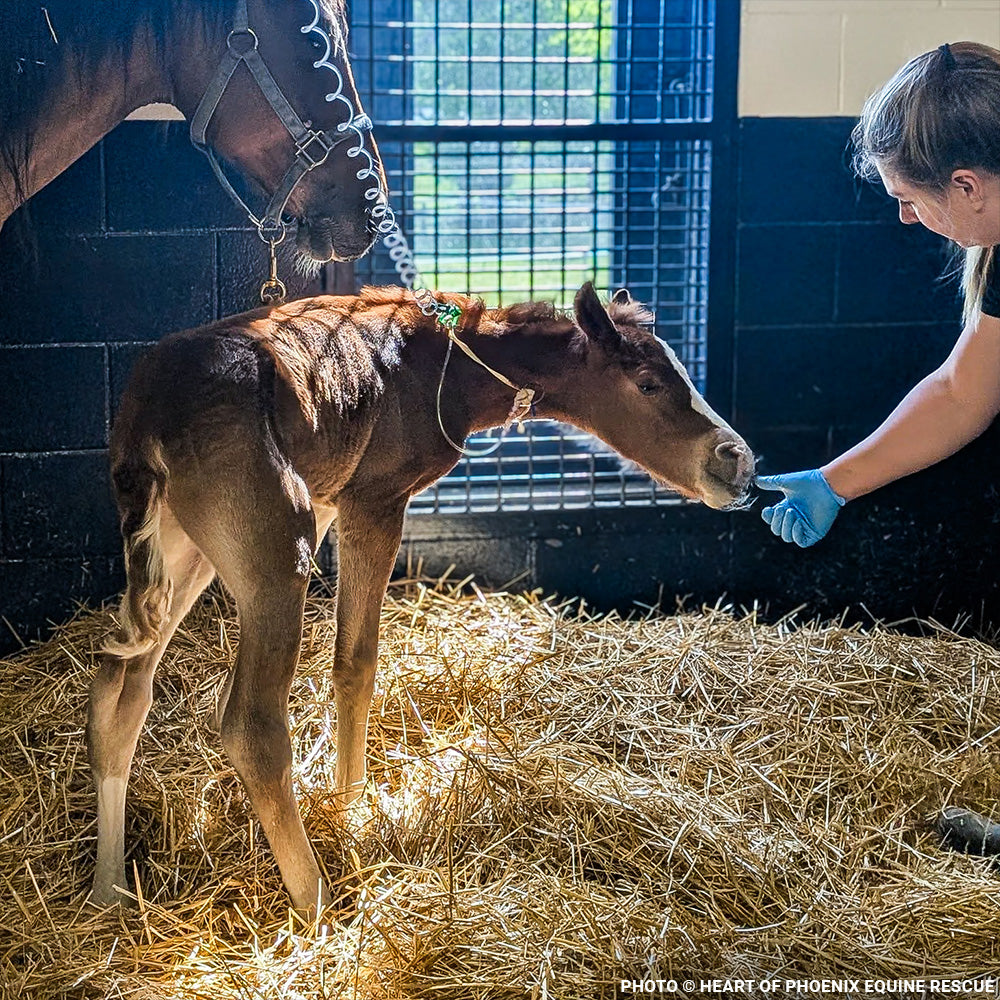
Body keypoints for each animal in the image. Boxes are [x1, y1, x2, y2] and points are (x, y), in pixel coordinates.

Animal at [87, 282, 756, 914]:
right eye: (648, 383)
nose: (739, 462)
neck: (447, 364)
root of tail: (148, 415)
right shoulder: (375, 500)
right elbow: (356, 661)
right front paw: (351, 807)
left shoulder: (329, 505)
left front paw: (346, 802)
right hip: (274, 552)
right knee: (250, 724)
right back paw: (317, 903)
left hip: (183, 547)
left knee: (120, 687)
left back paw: (107, 891)